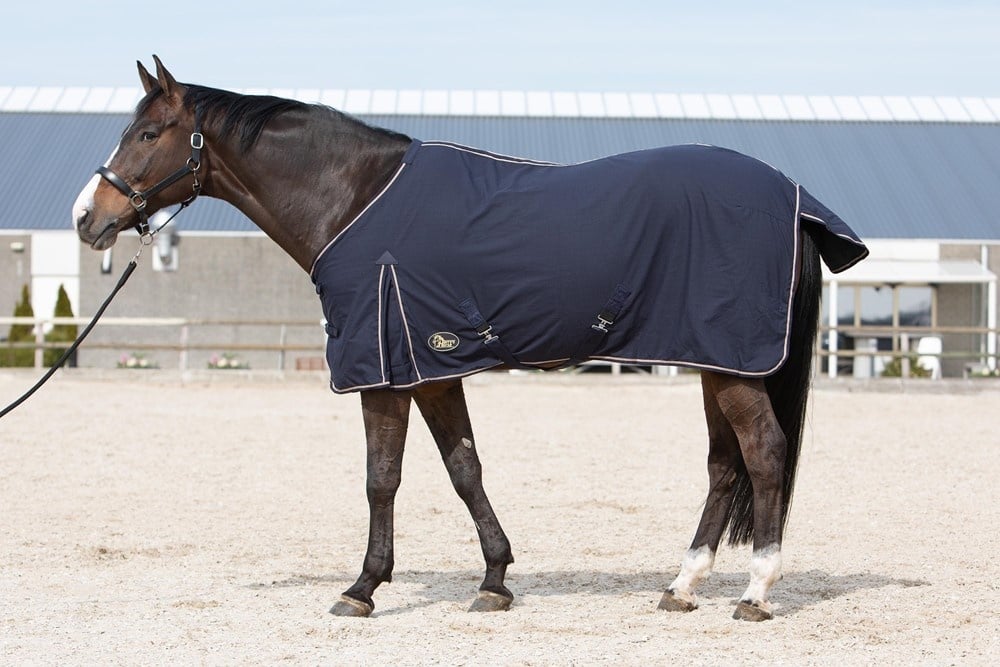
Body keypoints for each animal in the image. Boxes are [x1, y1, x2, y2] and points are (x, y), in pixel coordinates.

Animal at [72, 57, 868, 621]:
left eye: (147, 134)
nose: (88, 217)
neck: (354, 198)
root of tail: (793, 198)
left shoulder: (382, 372)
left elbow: (382, 478)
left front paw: (362, 587)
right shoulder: (432, 367)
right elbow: (465, 469)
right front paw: (493, 580)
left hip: (733, 364)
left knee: (763, 454)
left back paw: (755, 592)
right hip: (711, 358)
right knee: (724, 466)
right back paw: (682, 585)